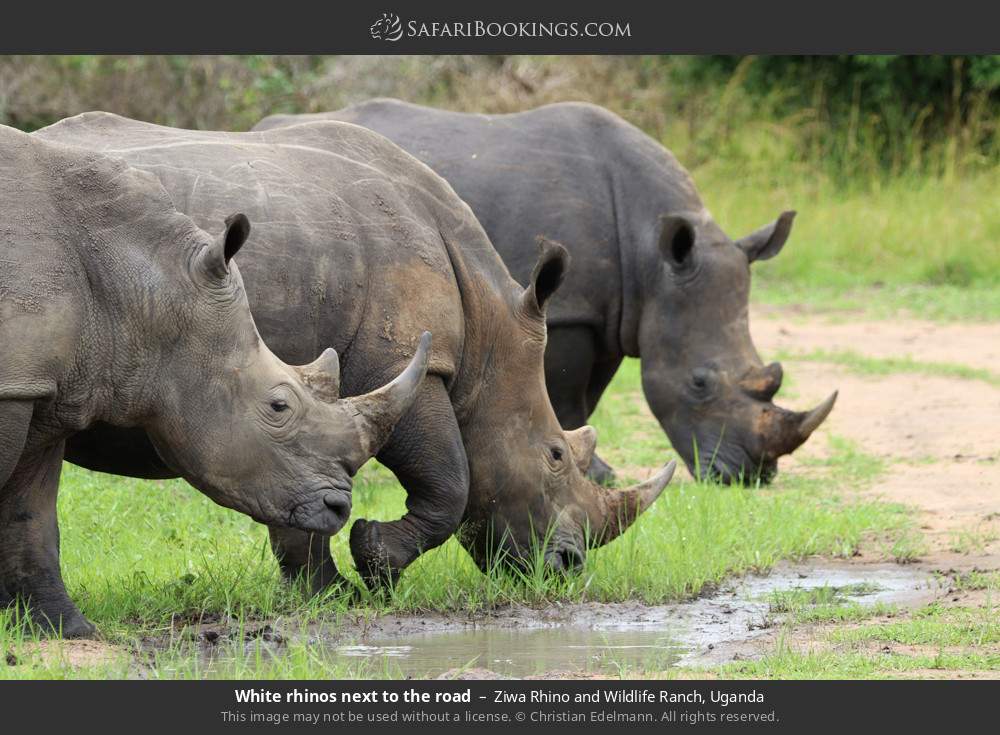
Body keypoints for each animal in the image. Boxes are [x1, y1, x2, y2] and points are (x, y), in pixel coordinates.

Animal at [0, 126, 430, 640]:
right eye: (279, 407)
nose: (338, 509)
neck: (138, 286)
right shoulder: (15, 382)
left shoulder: (41, 383)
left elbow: (30, 513)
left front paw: (66, 629)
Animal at [35, 112, 676, 592]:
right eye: (555, 457)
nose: (568, 568)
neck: (488, 336)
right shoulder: (404, 361)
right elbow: (452, 479)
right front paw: (373, 562)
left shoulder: (317, 409)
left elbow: (309, 504)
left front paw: (323, 593)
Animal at [258, 100, 836, 486]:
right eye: (699, 383)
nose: (751, 476)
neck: (652, 261)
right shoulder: (569, 310)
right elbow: (566, 392)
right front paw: (598, 474)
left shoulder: (611, 312)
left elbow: (589, 396)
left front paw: (595, 468)